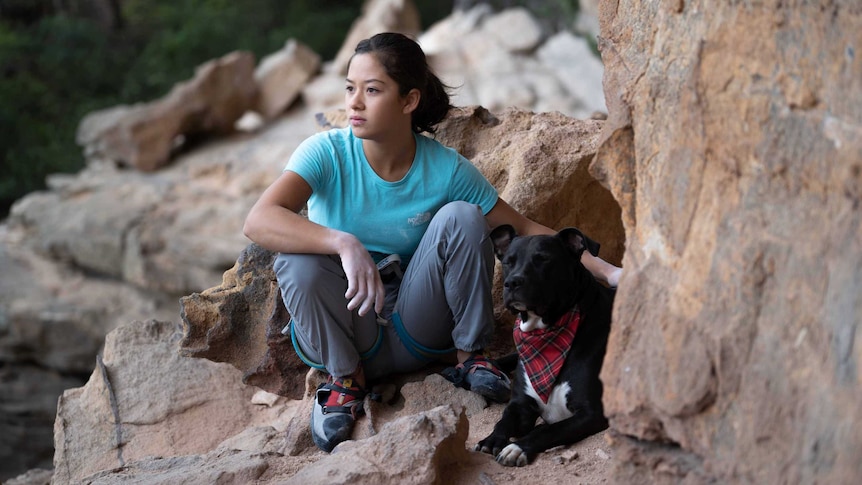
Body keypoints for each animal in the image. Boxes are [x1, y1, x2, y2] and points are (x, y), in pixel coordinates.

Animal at [476, 225, 616, 466]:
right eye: (508, 262)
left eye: (543, 259)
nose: (512, 282)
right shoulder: (520, 404)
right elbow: (504, 420)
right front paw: (492, 439)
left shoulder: (592, 412)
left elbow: (548, 431)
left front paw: (517, 447)